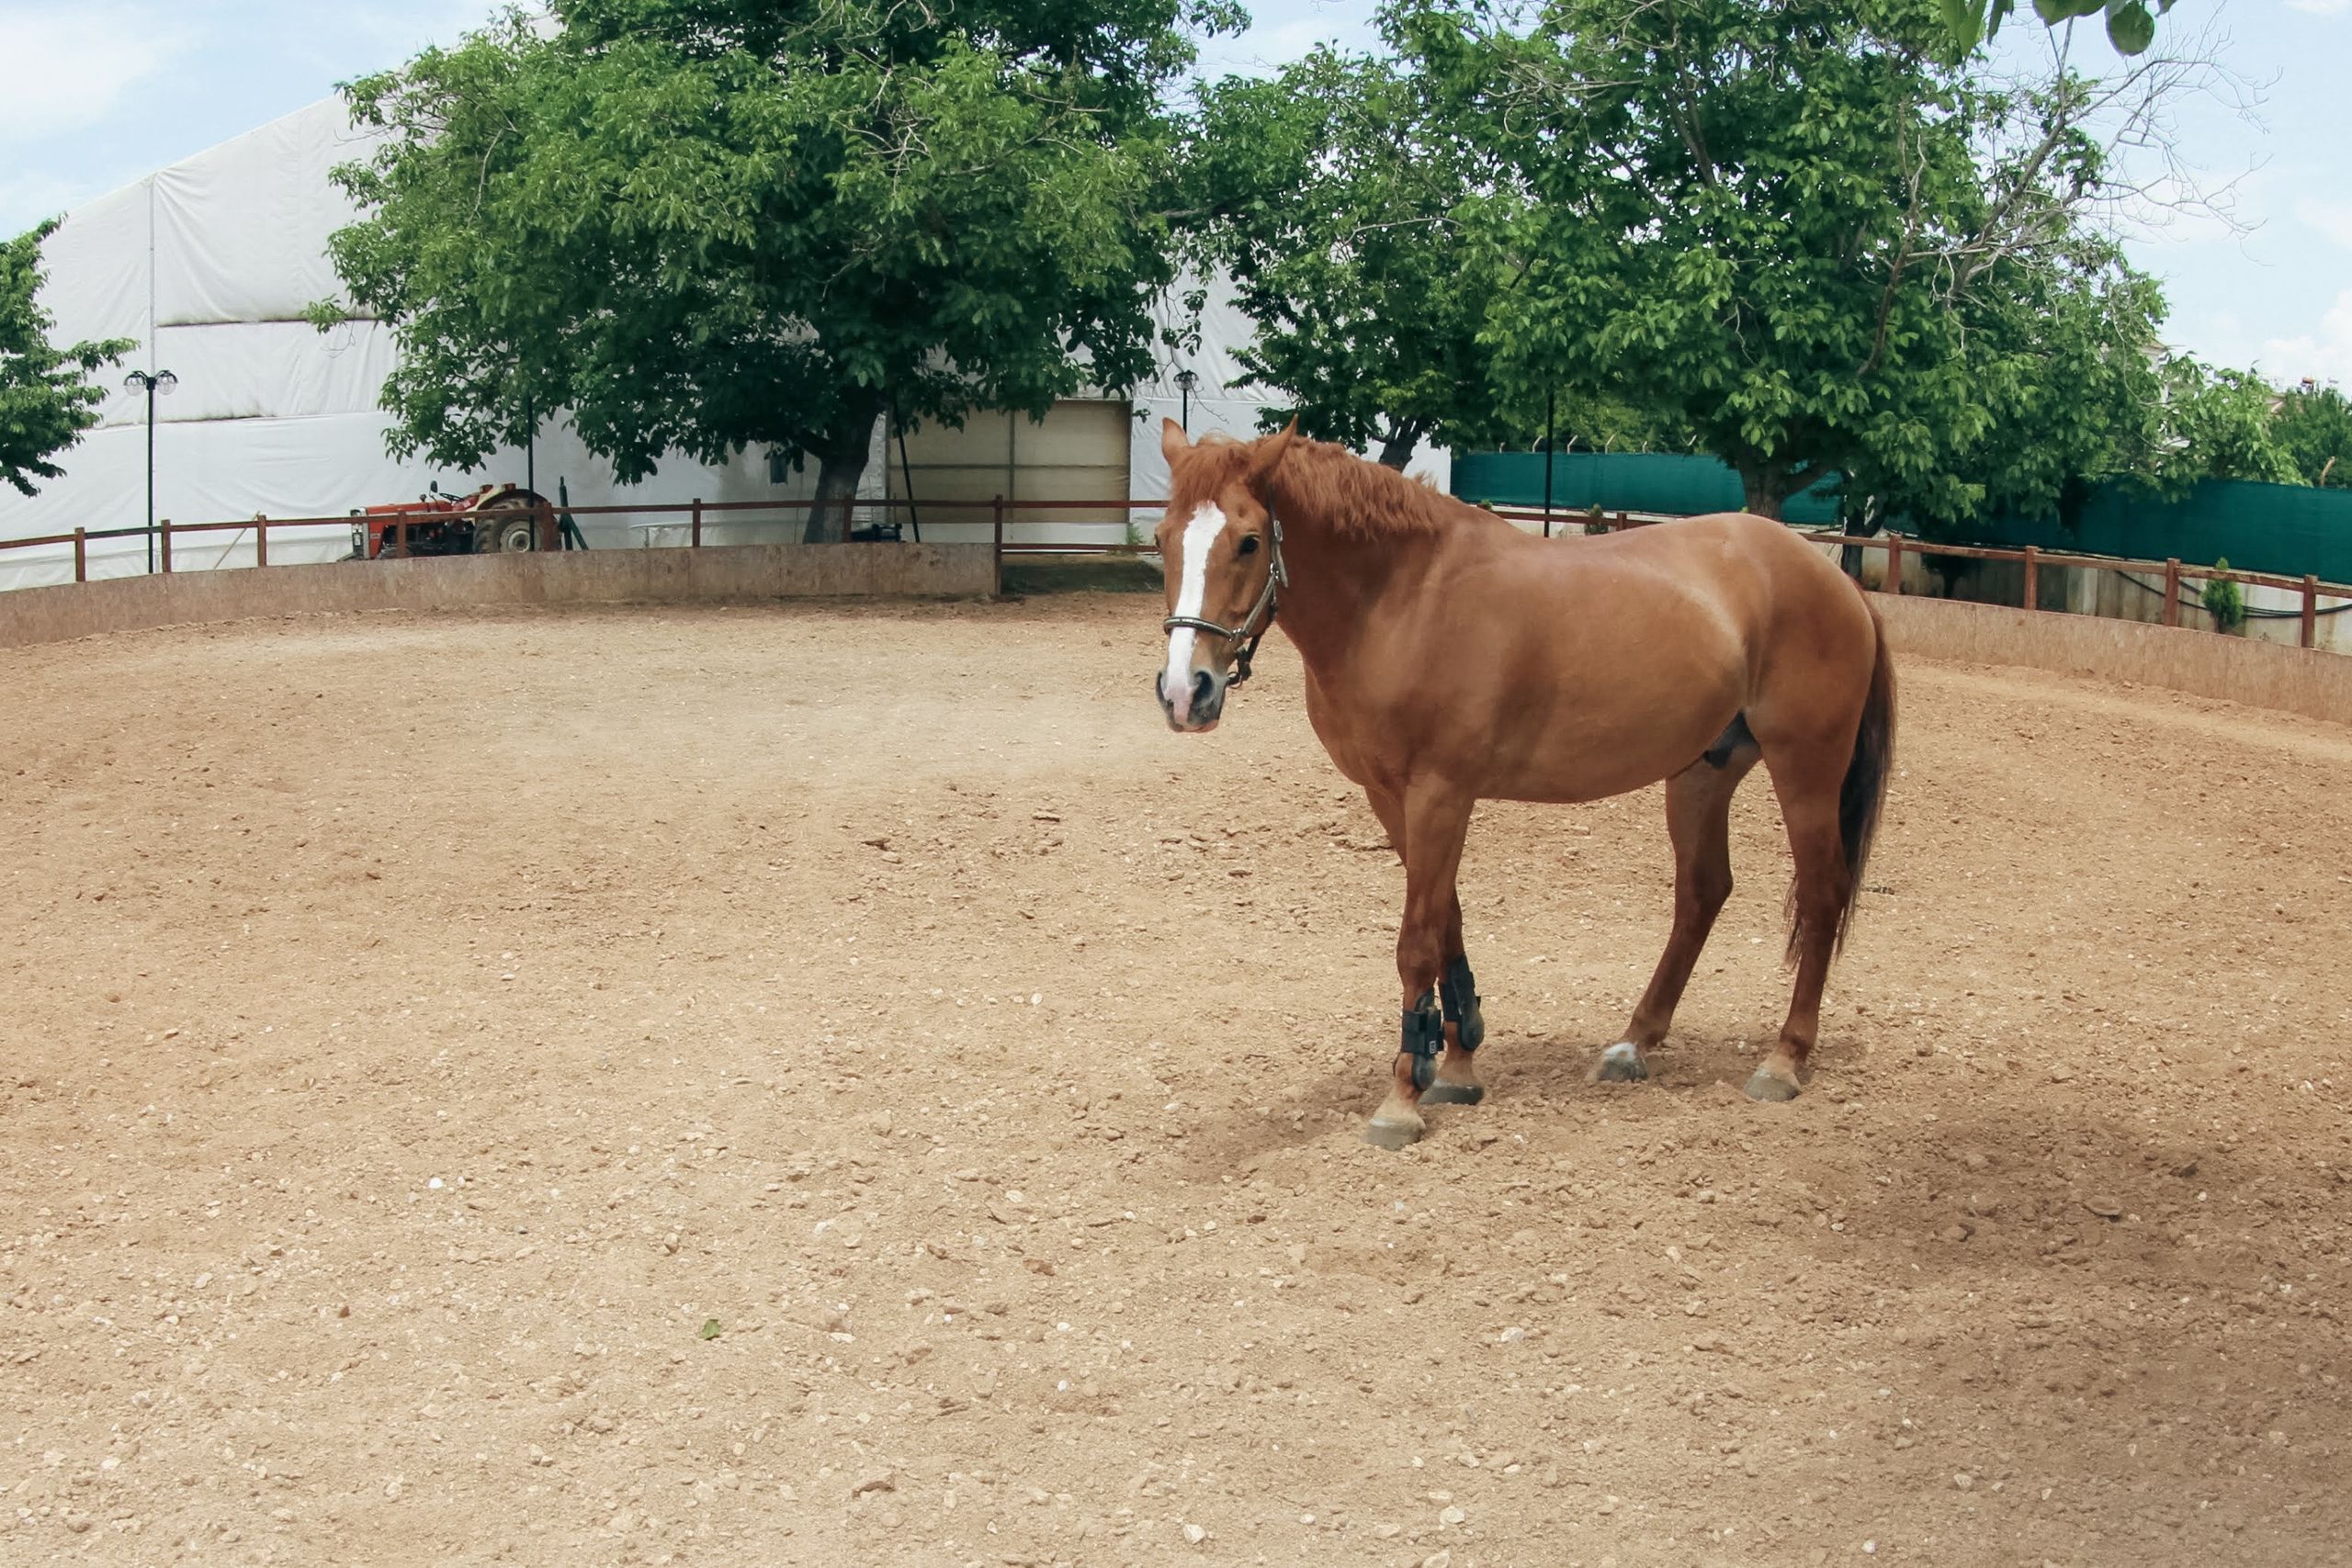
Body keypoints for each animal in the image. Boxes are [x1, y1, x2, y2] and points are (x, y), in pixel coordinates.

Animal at [1151, 421, 1895, 1149]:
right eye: (1162, 538)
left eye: (1249, 541)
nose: (1186, 693)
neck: (1405, 597)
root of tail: (1830, 578)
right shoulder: (1392, 797)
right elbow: (1445, 921)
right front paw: (1454, 1062)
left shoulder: (1441, 793)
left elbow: (1417, 941)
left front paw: (1402, 1098)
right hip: (1701, 775)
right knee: (1702, 893)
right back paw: (1633, 1044)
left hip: (1805, 769)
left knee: (1822, 895)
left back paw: (1784, 1059)